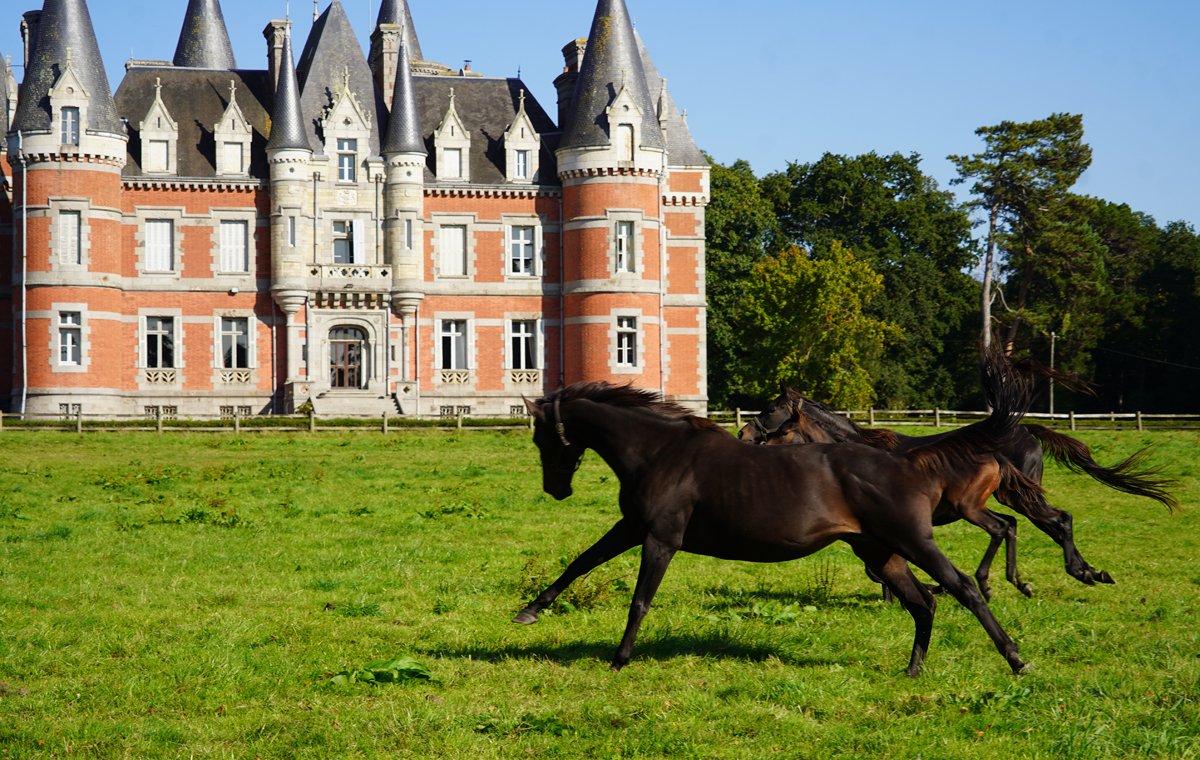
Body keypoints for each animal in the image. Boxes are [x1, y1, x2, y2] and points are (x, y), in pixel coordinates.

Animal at [514, 350, 1036, 676]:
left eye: (543, 437)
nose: (555, 489)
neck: (660, 451)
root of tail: (906, 461)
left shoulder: (660, 538)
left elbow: (640, 599)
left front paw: (620, 658)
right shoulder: (631, 527)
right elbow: (582, 561)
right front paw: (529, 611)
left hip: (913, 542)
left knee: (962, 587)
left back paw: (1015, 656)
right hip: (879, 551)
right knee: (923, 602)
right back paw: (912, 669)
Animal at [739, 388, 1178, 597]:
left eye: (770, 411)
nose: (743, 434)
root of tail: (1026, 428)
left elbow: (878, 568)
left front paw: (923, 589)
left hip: (1010, 497)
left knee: (1050, 523)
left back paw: (1062, 575)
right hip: (1012, 496)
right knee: (1048, 523)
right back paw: (1084, 573)